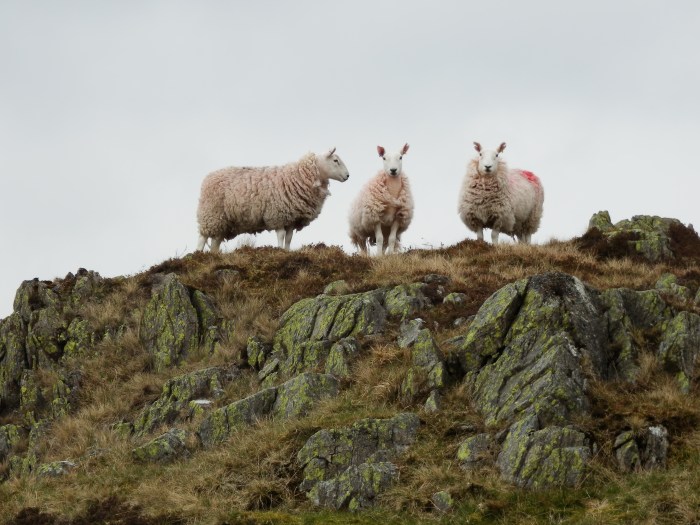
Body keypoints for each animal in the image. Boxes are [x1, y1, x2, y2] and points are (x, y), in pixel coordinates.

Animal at [196, 148, 349, 252]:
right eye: (335, 160)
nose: (348, 175)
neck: (300, 176)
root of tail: (208, 177)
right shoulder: (278, 215)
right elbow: (281, 236)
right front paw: (279, 250)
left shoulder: (292, 219)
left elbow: (289, 238)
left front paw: (287, 251)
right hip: (210, 215)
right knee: (202, 238)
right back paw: (198, 255)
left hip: (222, 221)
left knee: (215, 241)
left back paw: (213, 256)